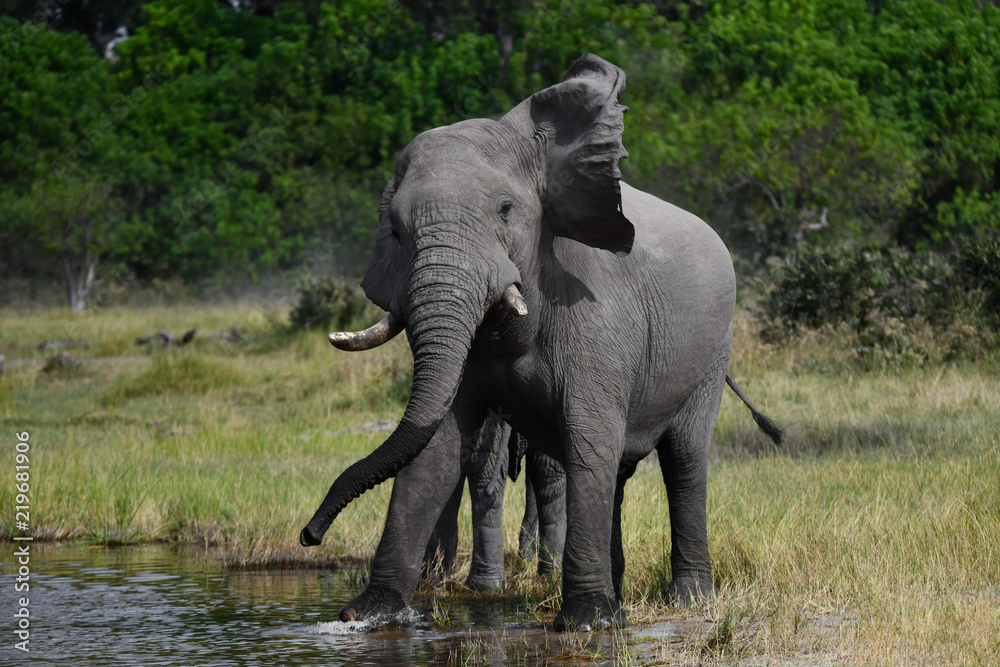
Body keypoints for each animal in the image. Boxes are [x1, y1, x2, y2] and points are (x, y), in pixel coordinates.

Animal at [299, 53, 782, 631]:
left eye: (506, 210)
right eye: (394, 230)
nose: (309, 534)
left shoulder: (596, 312)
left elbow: (588, 439)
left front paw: (587, 622)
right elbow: (436, 450)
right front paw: (366, 617)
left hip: (712, 351)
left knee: (683, 462)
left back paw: (686, 601)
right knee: (617, 472)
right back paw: (620, 595)